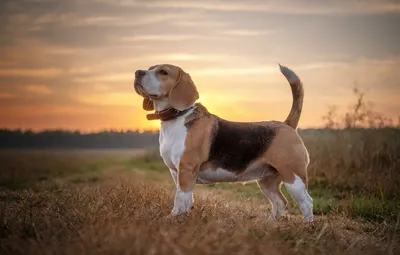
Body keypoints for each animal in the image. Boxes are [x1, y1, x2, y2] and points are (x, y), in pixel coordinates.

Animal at [133, 63, 314, 221]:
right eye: (150, 68)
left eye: (163, 72)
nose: (137, 72)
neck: (176, 116)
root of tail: (286, 124)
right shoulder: (176, 172)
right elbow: (186, 200)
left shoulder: (186, 169)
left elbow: (180, 199)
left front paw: (172, 219)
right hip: (267, 180)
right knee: (280, 202)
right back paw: (268, 223)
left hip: (293, 177)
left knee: (307, 202)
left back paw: (307, 225)